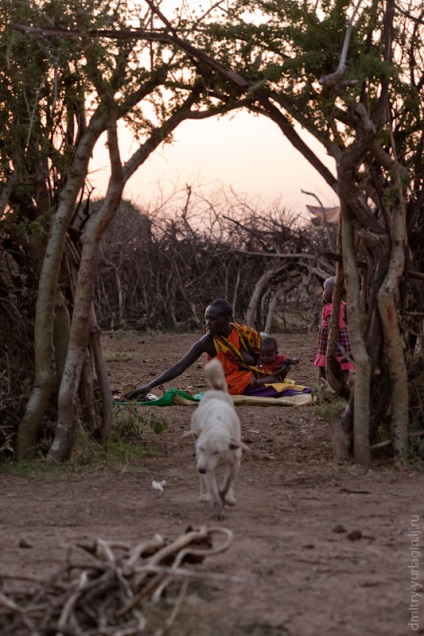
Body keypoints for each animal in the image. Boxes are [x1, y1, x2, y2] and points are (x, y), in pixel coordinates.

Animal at [185, 360, 245, 520]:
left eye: (217, 451)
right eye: (202, 448)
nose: (201, 468)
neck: (218, 424)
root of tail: (216, 391)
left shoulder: (234, 462)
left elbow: (228, 483)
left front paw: (227, 497)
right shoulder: (204, 463)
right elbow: (213, 488)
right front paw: (217, 505)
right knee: (202, 480)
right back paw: (204, 494)